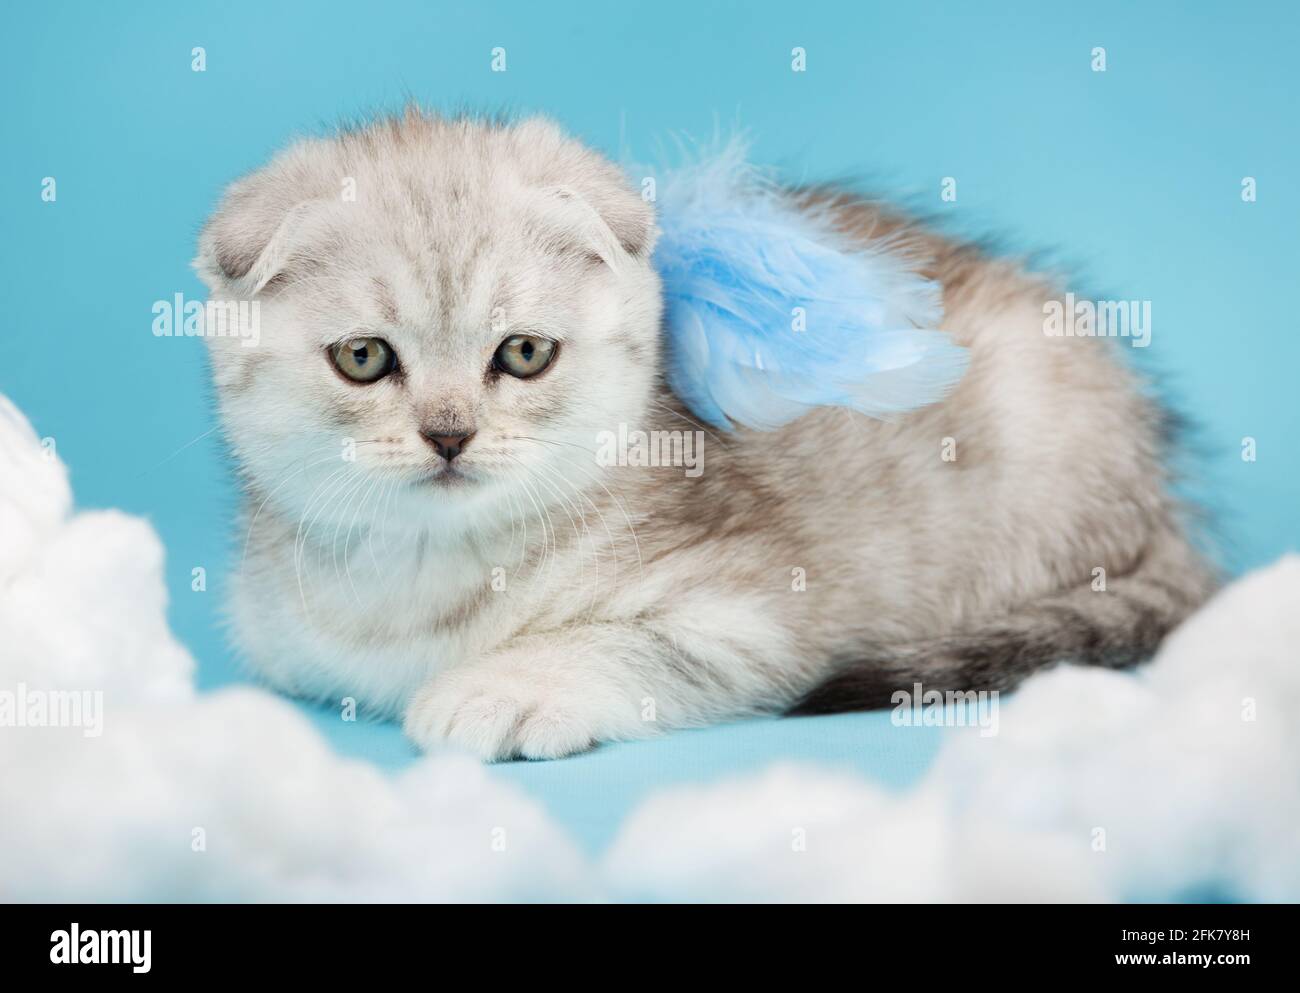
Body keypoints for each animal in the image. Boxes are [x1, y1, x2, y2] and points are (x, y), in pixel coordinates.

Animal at [195, 108, 1216, 759]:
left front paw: (504, 685)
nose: (450, 434)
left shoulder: (762, 611)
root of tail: (1165, 500)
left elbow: (618, 643)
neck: (415, 574)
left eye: (523, 353)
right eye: (364, 358)